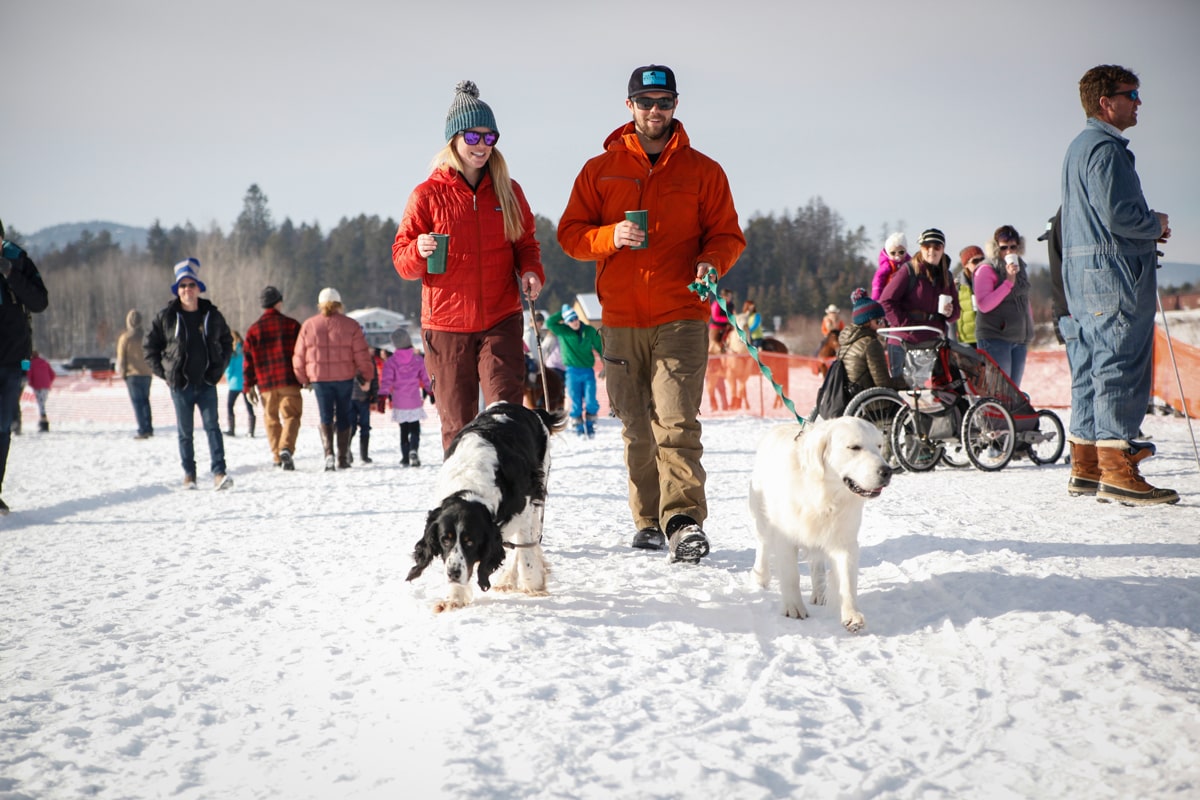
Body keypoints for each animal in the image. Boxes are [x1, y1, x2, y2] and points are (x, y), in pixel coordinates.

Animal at [410, 400, 564, 614]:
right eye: (444, 539)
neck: (470, 487)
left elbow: (525, 552)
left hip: (539, 489)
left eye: (470, 542)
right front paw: (454, 597)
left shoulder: (524, 509)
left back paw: (509, 579)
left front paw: (533, 585)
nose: (453, 573)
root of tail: (532, 410)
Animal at [748, 417, 892, 633]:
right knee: (763, 544)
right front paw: (794, 608)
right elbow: (791, 575)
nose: (887, 471)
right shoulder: (785, 538)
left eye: (879, 446)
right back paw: (761, 576)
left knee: (816, 564)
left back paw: (819, 592)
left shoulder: (844, 540)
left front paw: (852, 616)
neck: (824, 496)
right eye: (854, 447)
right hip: (761, 514)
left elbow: (847, 581)